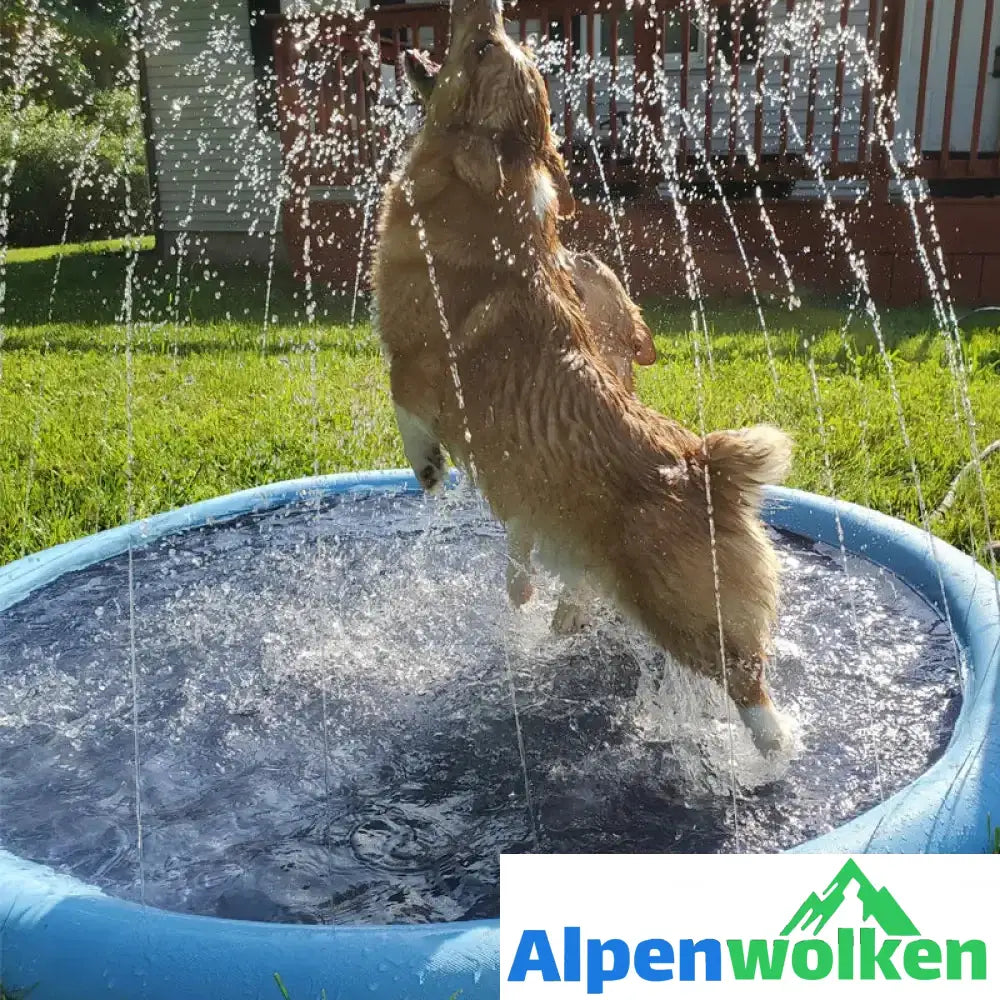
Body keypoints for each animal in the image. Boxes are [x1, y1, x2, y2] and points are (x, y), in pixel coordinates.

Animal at [372, 0, 792, 752]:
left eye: (482, 49)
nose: (489, 6)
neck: (486, 197)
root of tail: (709, 470)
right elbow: (517, 551)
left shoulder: (415, 367)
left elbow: (407, 412)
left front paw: (427, 468)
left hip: (688, 617)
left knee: (750, 687)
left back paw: (770, 754)